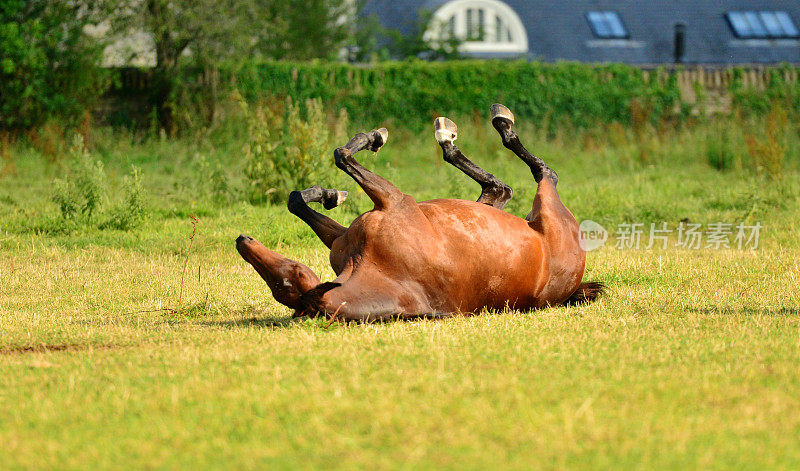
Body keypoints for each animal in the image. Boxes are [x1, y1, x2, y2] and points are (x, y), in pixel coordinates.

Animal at [238, 104, 608, 320]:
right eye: (280, 285)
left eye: (292, 273)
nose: (243, 240)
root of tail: (573, 280)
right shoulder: (370, 218)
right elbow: (309, 187)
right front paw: (331, 191)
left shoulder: (393, 201)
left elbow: (337, 159)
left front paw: (335, 185)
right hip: (538, 207)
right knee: (516, 182)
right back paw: (469, 131)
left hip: (545, 206)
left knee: (537, 174)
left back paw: (482, 126)